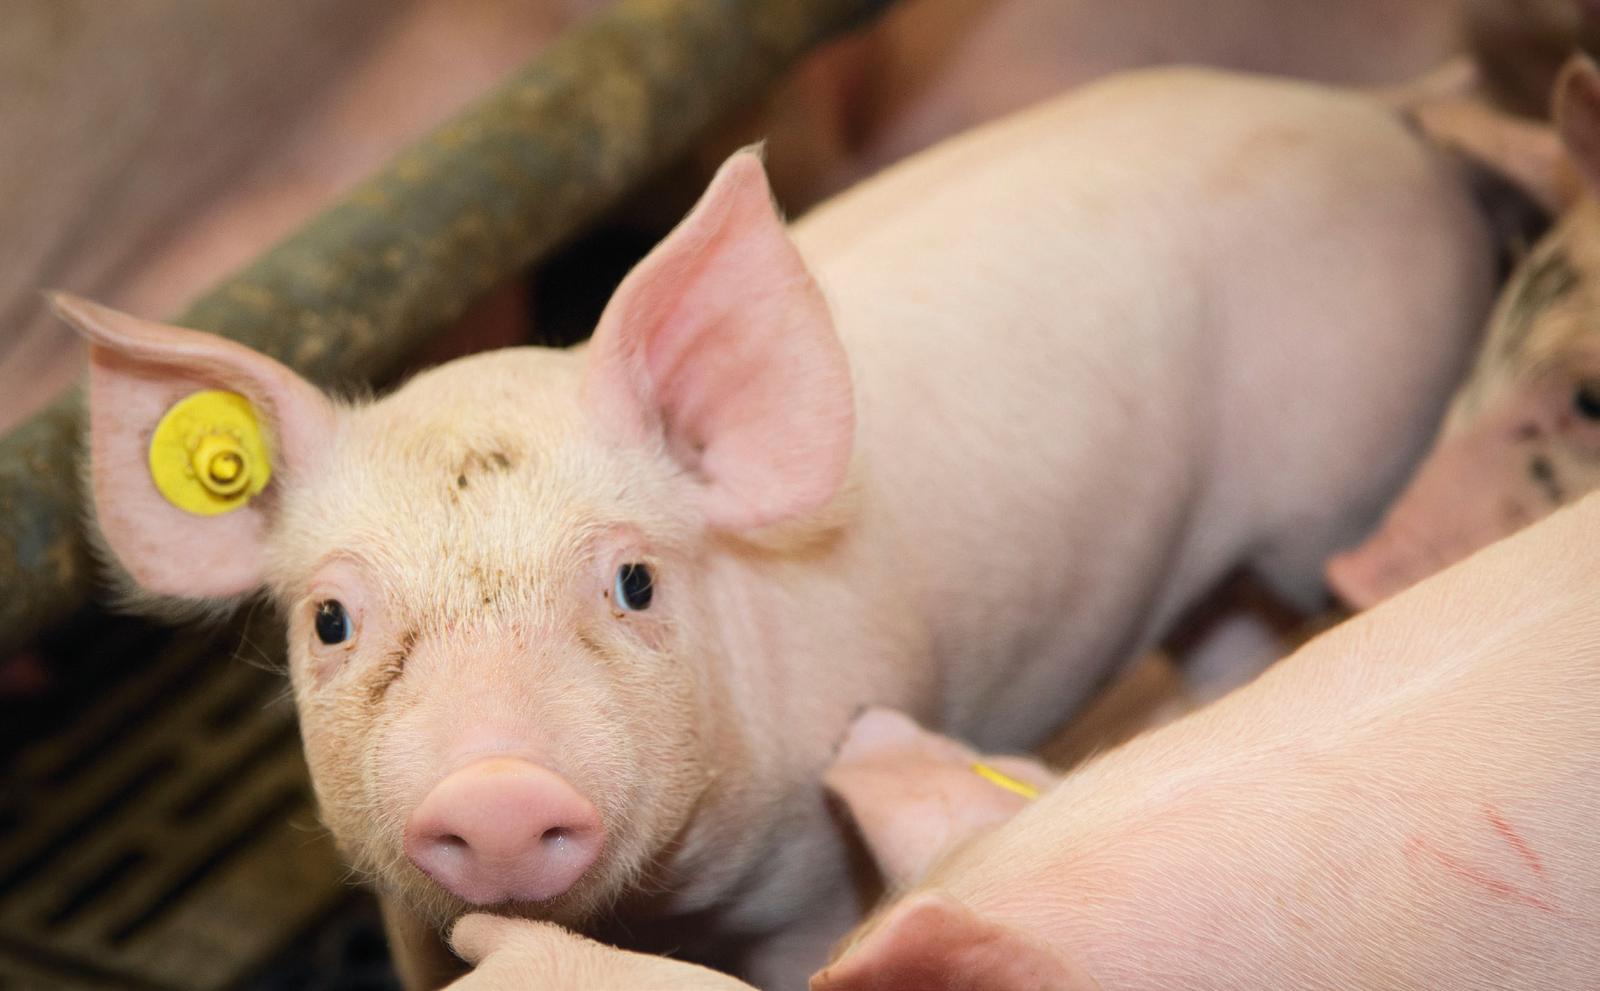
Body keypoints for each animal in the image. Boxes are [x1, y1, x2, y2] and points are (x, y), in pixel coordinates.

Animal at [57, 67, 1501, 987]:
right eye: (330, 617)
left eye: (636, 581)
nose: (496, 785)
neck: (654, 915)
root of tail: (1386, 119)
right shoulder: (402, 908)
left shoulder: (815, 863)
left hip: (1355, 464)